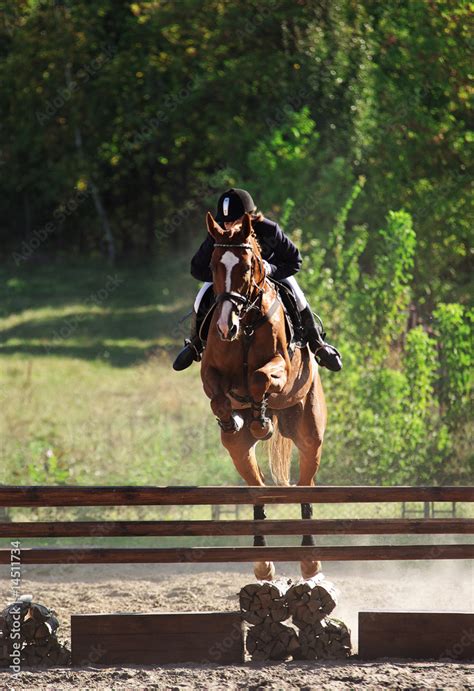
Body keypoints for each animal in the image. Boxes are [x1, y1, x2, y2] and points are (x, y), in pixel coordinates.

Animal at [199, 214, 326, 580]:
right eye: (213, 264)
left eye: (247, 265)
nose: (225, 327)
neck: (246, 323)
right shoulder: (209, 372)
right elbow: (218, 397)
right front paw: (234, 419)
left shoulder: (280, 366)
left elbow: (259, 378)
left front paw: (260, 421)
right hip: (240, 455)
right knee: (256, 492)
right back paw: (263, 564)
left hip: (309, 435)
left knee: (306, 489)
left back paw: (310, 562)